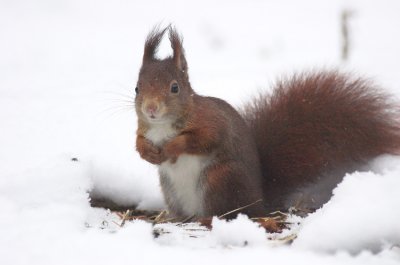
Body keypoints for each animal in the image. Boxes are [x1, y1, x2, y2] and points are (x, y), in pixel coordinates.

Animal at [135, 25, 400, 218]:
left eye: (174, 88)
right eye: (137, 88)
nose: (151, 109)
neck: (162, 126)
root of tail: (260, 201)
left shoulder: (211, 122)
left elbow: (203, 140)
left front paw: (172, 147)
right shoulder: (143, 129)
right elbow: (138, 142)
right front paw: (147, 152)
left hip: (220, 178)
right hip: (172, 190)